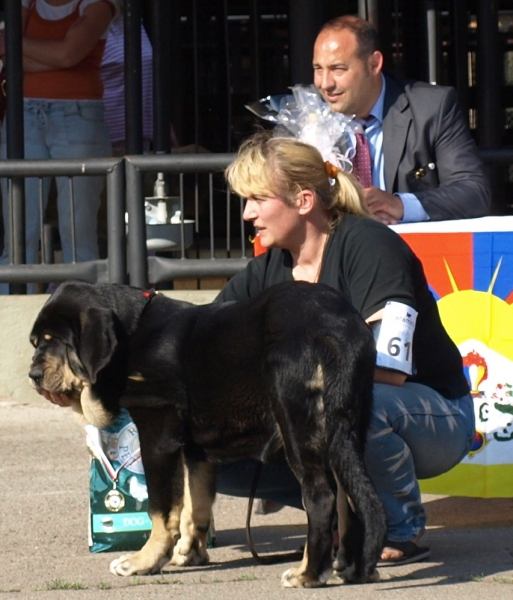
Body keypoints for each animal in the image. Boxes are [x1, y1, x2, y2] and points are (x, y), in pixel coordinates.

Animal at [29, 280, 384, 584]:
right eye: (35, 343)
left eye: (54, 340)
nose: (33, 374)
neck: (132, 336)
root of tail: (338, 327)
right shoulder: (194, 450)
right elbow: (194, 504)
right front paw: (189, 553)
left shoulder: (157, 436)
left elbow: (161, 510)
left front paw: (144, 561)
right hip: (346, 431)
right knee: (350, 500)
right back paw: (349, 567)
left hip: (297, 426)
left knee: (321, 498)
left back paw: (307, 574)